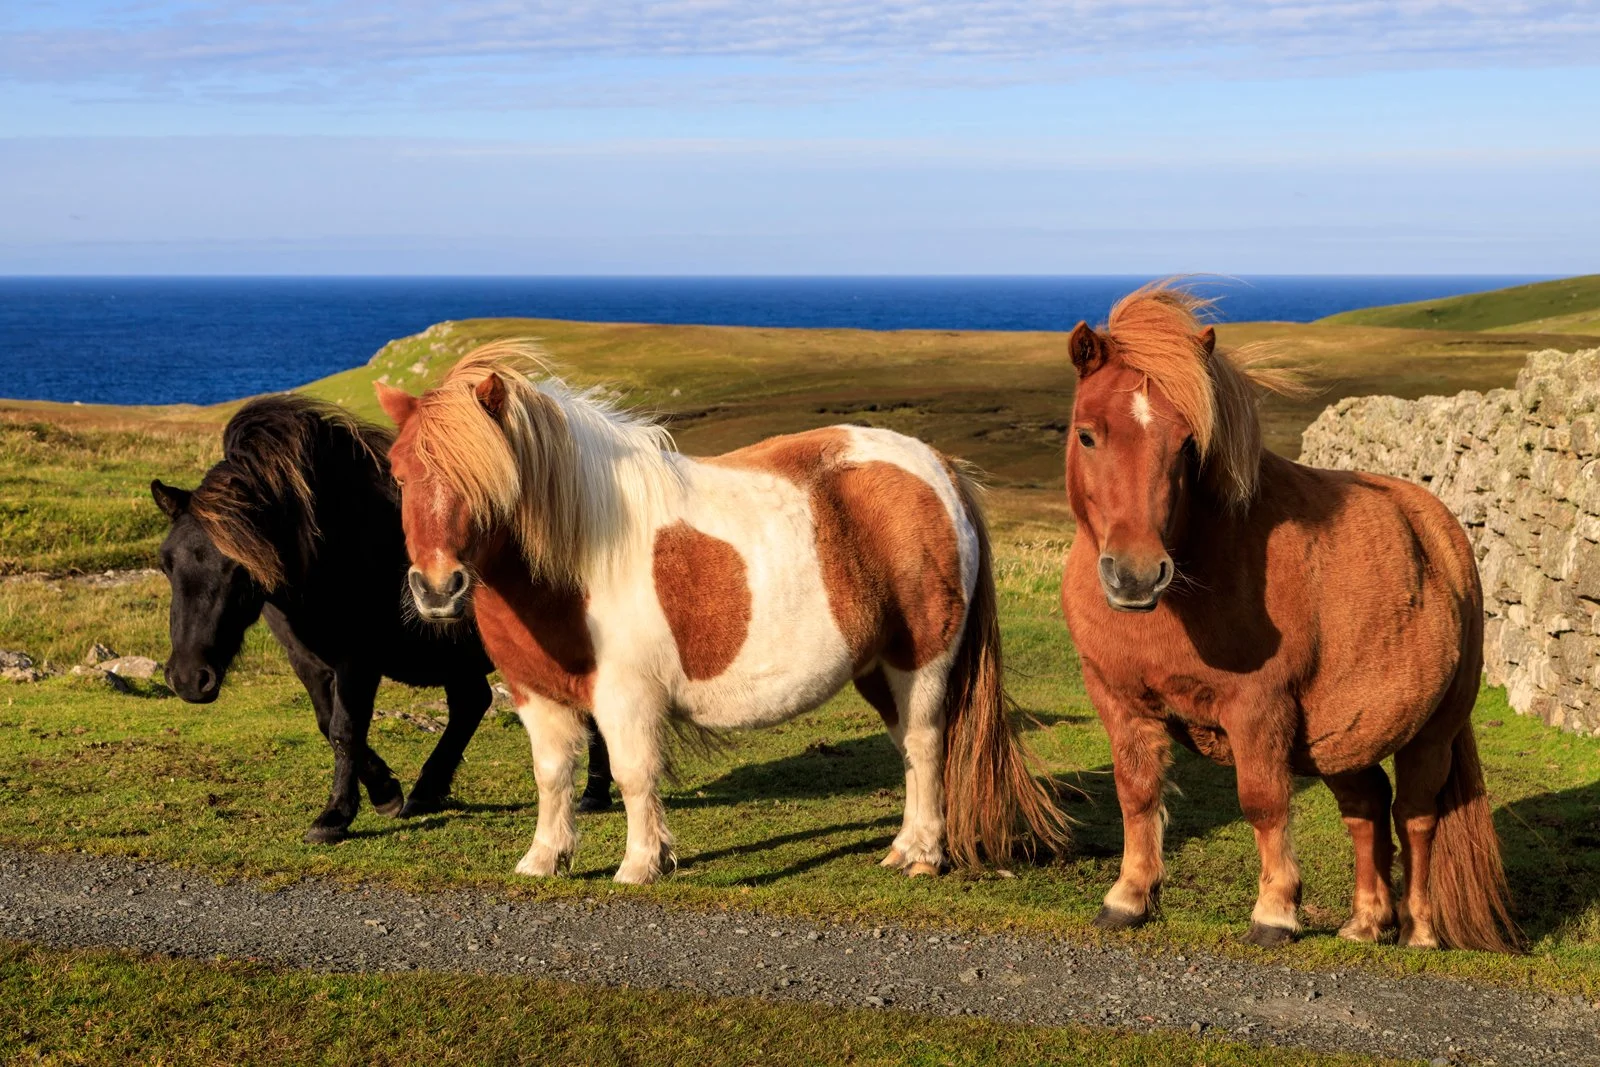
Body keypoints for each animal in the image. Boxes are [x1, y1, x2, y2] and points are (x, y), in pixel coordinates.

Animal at [151, 394, 615, 844]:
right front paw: (385, 791)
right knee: (471, 703)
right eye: (167, 562)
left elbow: (346, 728)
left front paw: (336, 815)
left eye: (238, 568)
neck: (335, 542)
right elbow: (329, 723)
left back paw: (594, 792)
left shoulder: (359, 659)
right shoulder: (306, 658)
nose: (190, 679)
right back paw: (428, 792)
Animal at [373, 342, 1068, 884]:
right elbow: (552, 776)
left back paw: (924, 855)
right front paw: (544, 860)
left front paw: (640, 864)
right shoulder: (534, 693)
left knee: (925, 745)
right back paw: (903, 848)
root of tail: (936, 467)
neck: (574, 560)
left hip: (919, 661)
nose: (438, 589)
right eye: (400, 475)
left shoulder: (626, 696)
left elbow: (633, 775)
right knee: (907, 746)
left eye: (487, 479)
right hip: (876, 667)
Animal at [1058, 283, 1518, 953]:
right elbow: (1136, 793)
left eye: (1188, 444)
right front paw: (1128, 897)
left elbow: (1262, 802)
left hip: (1431, 733)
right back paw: (1365, 923)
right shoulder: (1120, 699)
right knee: (1366, 808)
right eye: (1088, 435)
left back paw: (1419, 930)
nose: (1138, 574)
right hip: (1341, 735)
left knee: (1416, 816)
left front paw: (1275, 911)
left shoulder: (1259, 709)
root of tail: (1442, 529)